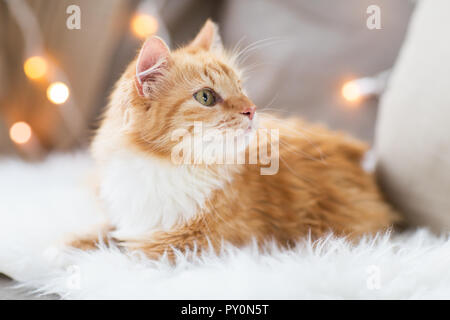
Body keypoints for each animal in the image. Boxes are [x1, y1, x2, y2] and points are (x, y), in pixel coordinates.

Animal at [69, 20, 398, 260]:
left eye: (241, 88)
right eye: (206, 97)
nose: (252, 109)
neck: (162, 167)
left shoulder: (193, 244)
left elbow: (130, 250)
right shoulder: (128, 219)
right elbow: (102, 233)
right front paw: (73, 245)